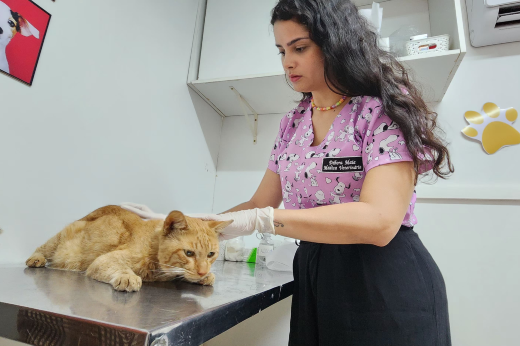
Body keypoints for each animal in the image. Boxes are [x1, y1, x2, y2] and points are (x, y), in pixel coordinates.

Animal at [25, 205, 233, 292]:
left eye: (211, 254)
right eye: (188, 253)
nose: (202, 272)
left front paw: (206, 276)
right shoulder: (102, 261)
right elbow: (120, 268)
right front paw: (127, 277)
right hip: (58, 242)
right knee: (42, 247)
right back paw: (36, 259)